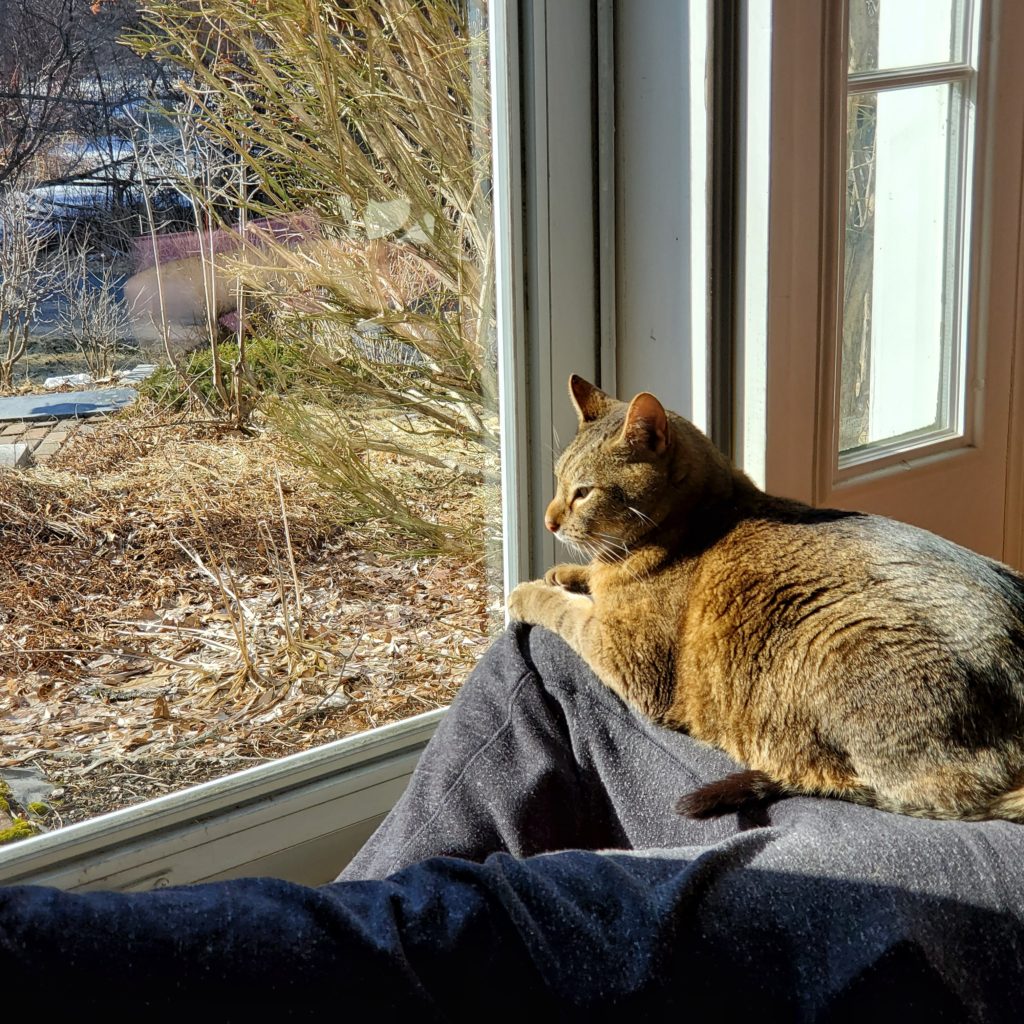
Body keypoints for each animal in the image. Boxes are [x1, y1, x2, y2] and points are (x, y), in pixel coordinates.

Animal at [507, 376, 1024, 823]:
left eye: (583, 492)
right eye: (557, 481)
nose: (550, 520)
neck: (702, 518)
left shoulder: (626, 655)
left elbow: (564, 611)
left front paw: (529, 591)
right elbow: (586, 582)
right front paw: (565, 572)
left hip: (835, 643)